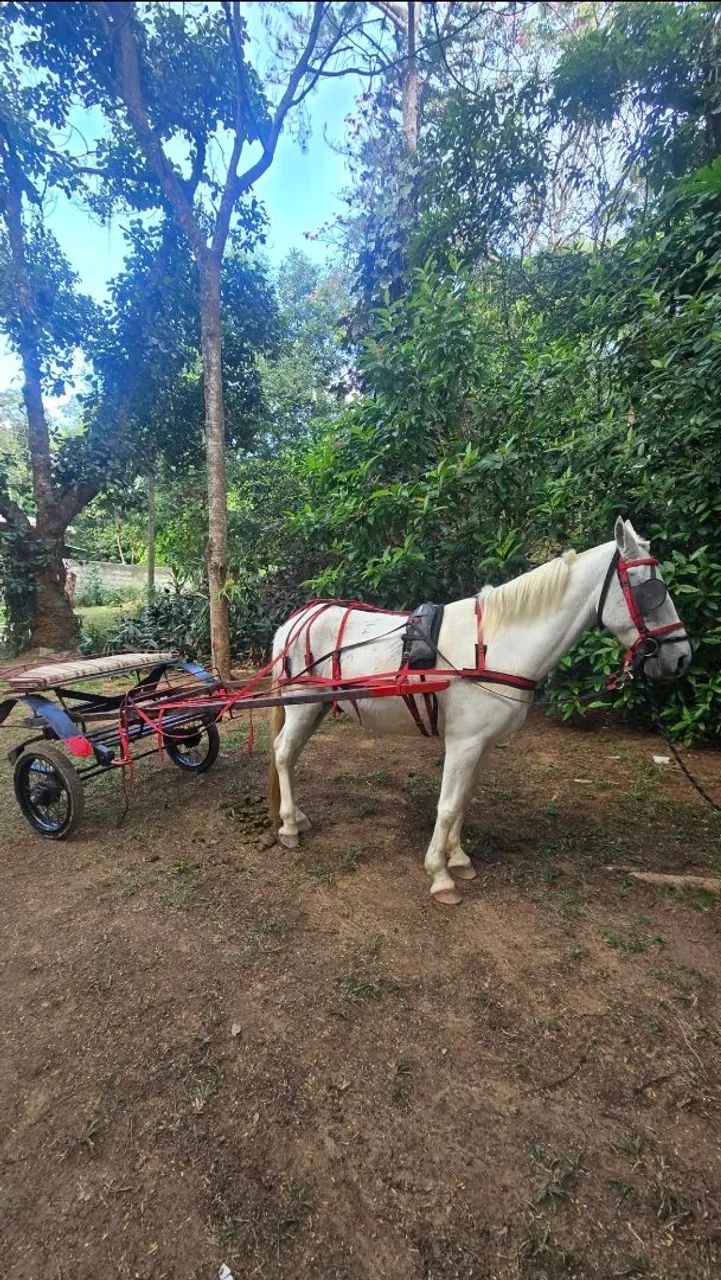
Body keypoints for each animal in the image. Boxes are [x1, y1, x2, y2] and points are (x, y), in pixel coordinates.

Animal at [267, 518, 691, 905]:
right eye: (651, 590)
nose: (682, 657)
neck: (493, 646)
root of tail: (294, 620)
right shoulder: (464, 742)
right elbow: (448, 804)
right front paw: (439, 875)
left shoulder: (483, 744)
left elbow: (464, 800)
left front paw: (458, 858)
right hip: (303, 704)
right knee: (284, 753)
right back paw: (288, 827)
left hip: (314, 708)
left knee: (290, 753)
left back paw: (297, 817)